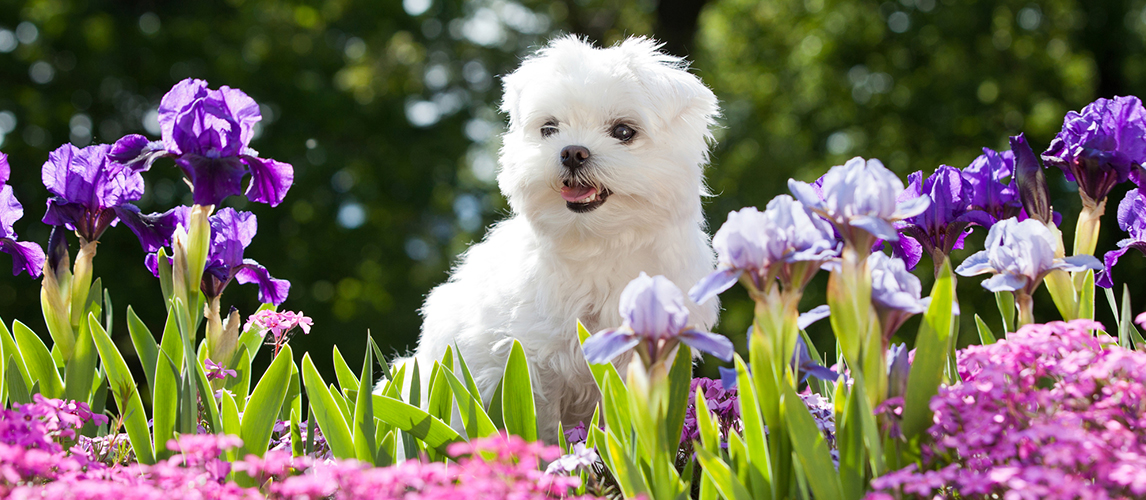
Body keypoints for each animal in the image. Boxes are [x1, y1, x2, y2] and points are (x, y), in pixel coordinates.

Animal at [398, 35, 715, 440]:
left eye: (623, 131)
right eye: (549, 129)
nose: (573, 152)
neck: (598, 243)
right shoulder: (535, 362)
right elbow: (541, 425)